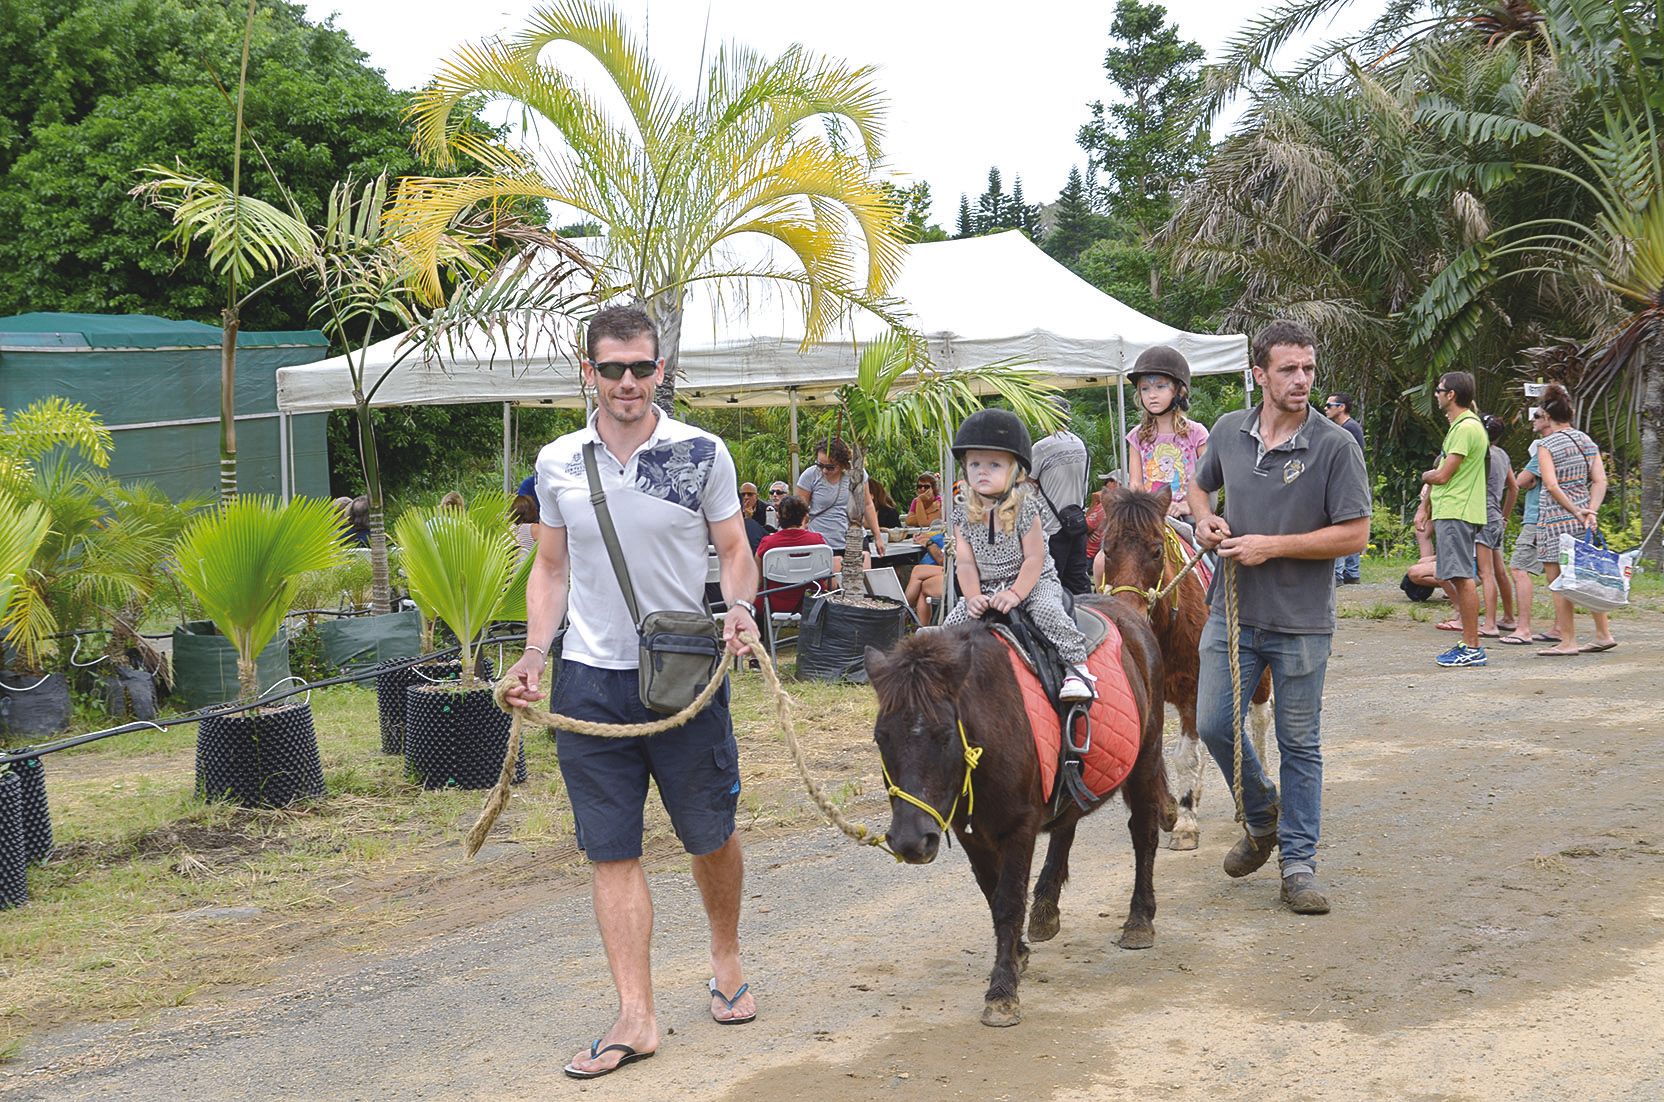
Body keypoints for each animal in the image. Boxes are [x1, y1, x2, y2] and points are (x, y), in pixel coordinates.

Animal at [865, 599, 1178, 1032]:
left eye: (944, 735)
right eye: (882, 738)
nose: (911, 841)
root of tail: (1127, 610)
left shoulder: (1019, 828)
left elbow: (1009, 901)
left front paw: (1002, 992)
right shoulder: (972, 835)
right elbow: (991, 894)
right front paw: (1017, 953)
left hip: (1145, 759)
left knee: (1142, 833)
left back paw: (1139, 920)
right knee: (1067, 826)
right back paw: (1046, 909)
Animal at [1098, 486, 1264, 852]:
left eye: (1156, 550)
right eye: (1106, 550)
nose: (1127, 613)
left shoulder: (1194, 690)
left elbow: (1186, 756)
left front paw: (1185, 822)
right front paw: (1166, 809)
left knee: (1260, 720)